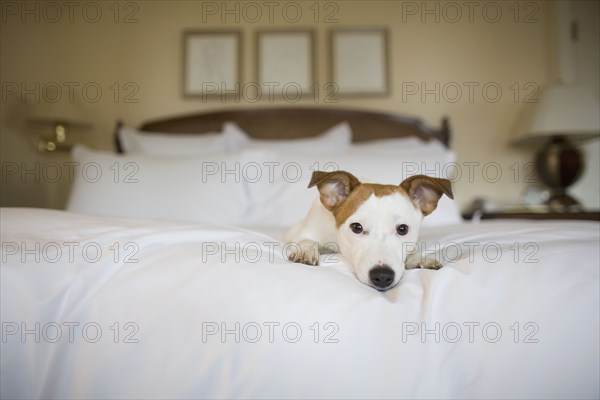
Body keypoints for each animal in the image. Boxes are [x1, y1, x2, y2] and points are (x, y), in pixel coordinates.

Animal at [286, 170, 454, 290]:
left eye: (402, 229)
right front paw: (305, 251)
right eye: (356, 227)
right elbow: (306, 240)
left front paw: (420, 259)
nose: (382, 276)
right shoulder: (304, 233)